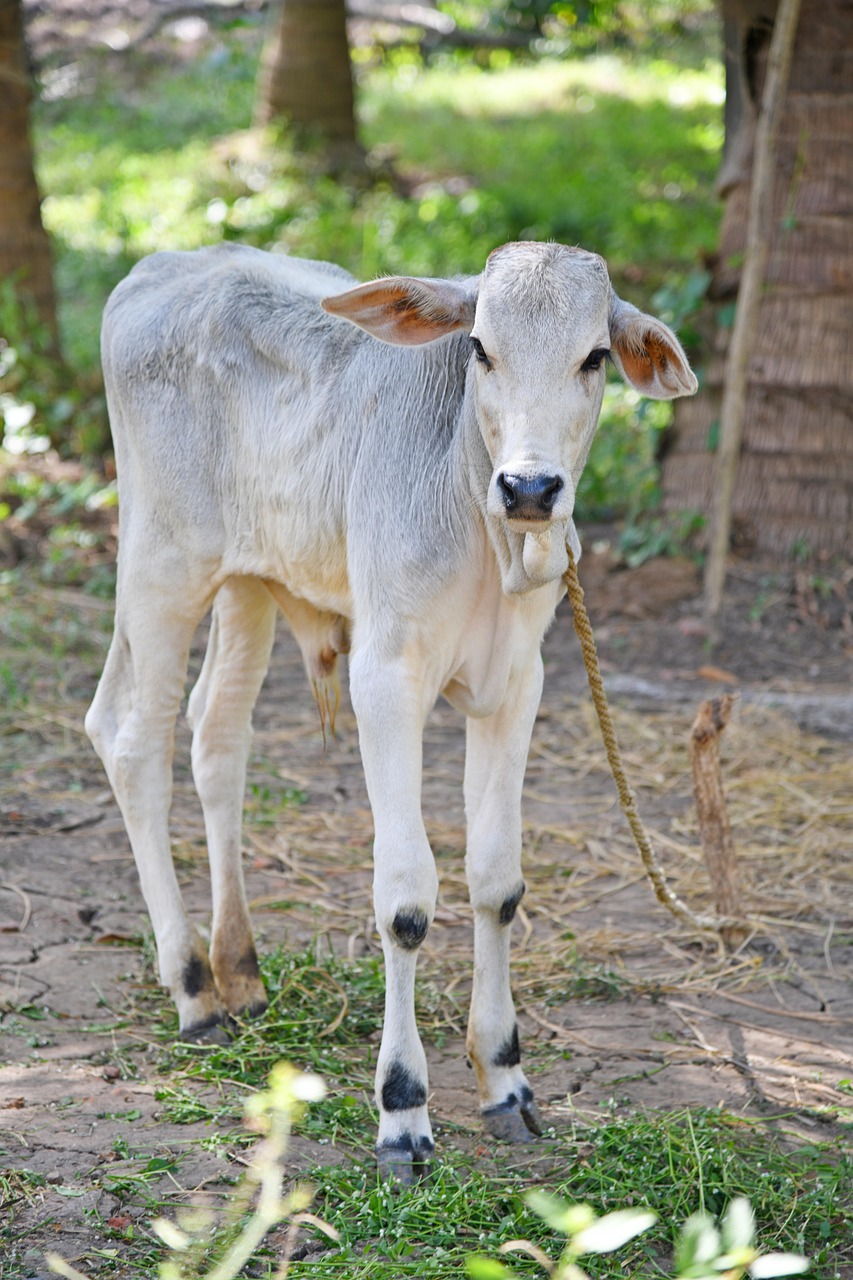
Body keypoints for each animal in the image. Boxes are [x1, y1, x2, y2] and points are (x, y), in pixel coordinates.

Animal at [85, 239, 697, 1182]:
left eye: (594, 356)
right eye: (479, 347)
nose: (529, 487)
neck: (481, 527)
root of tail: (169, 264)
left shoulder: (518, 686)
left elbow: (497, 882)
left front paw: (504, 1078)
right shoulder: (384, 679)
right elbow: (407, 901)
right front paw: (402, 1109)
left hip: (250, 583)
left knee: (215, 737)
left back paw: (240, 970)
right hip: (160, 570)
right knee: (130, 737)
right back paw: (193, 988)